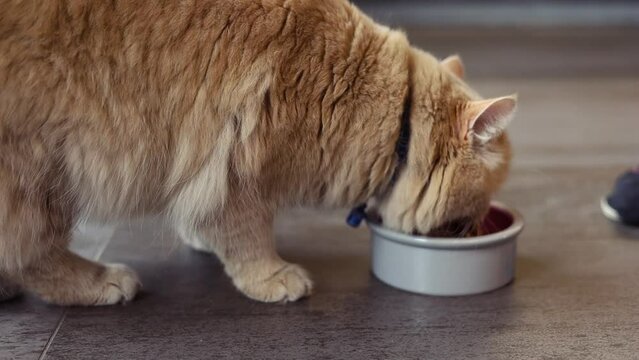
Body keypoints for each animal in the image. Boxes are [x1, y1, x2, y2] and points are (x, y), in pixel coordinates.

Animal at [0, 0, 516, 306]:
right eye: (484, 194)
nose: (483, 219)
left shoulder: (206, 172)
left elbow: (201, 218)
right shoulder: (236, 167)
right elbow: (247, 236)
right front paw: (271, 277)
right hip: (40, 171)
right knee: (27, 254)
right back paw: (101, 281)